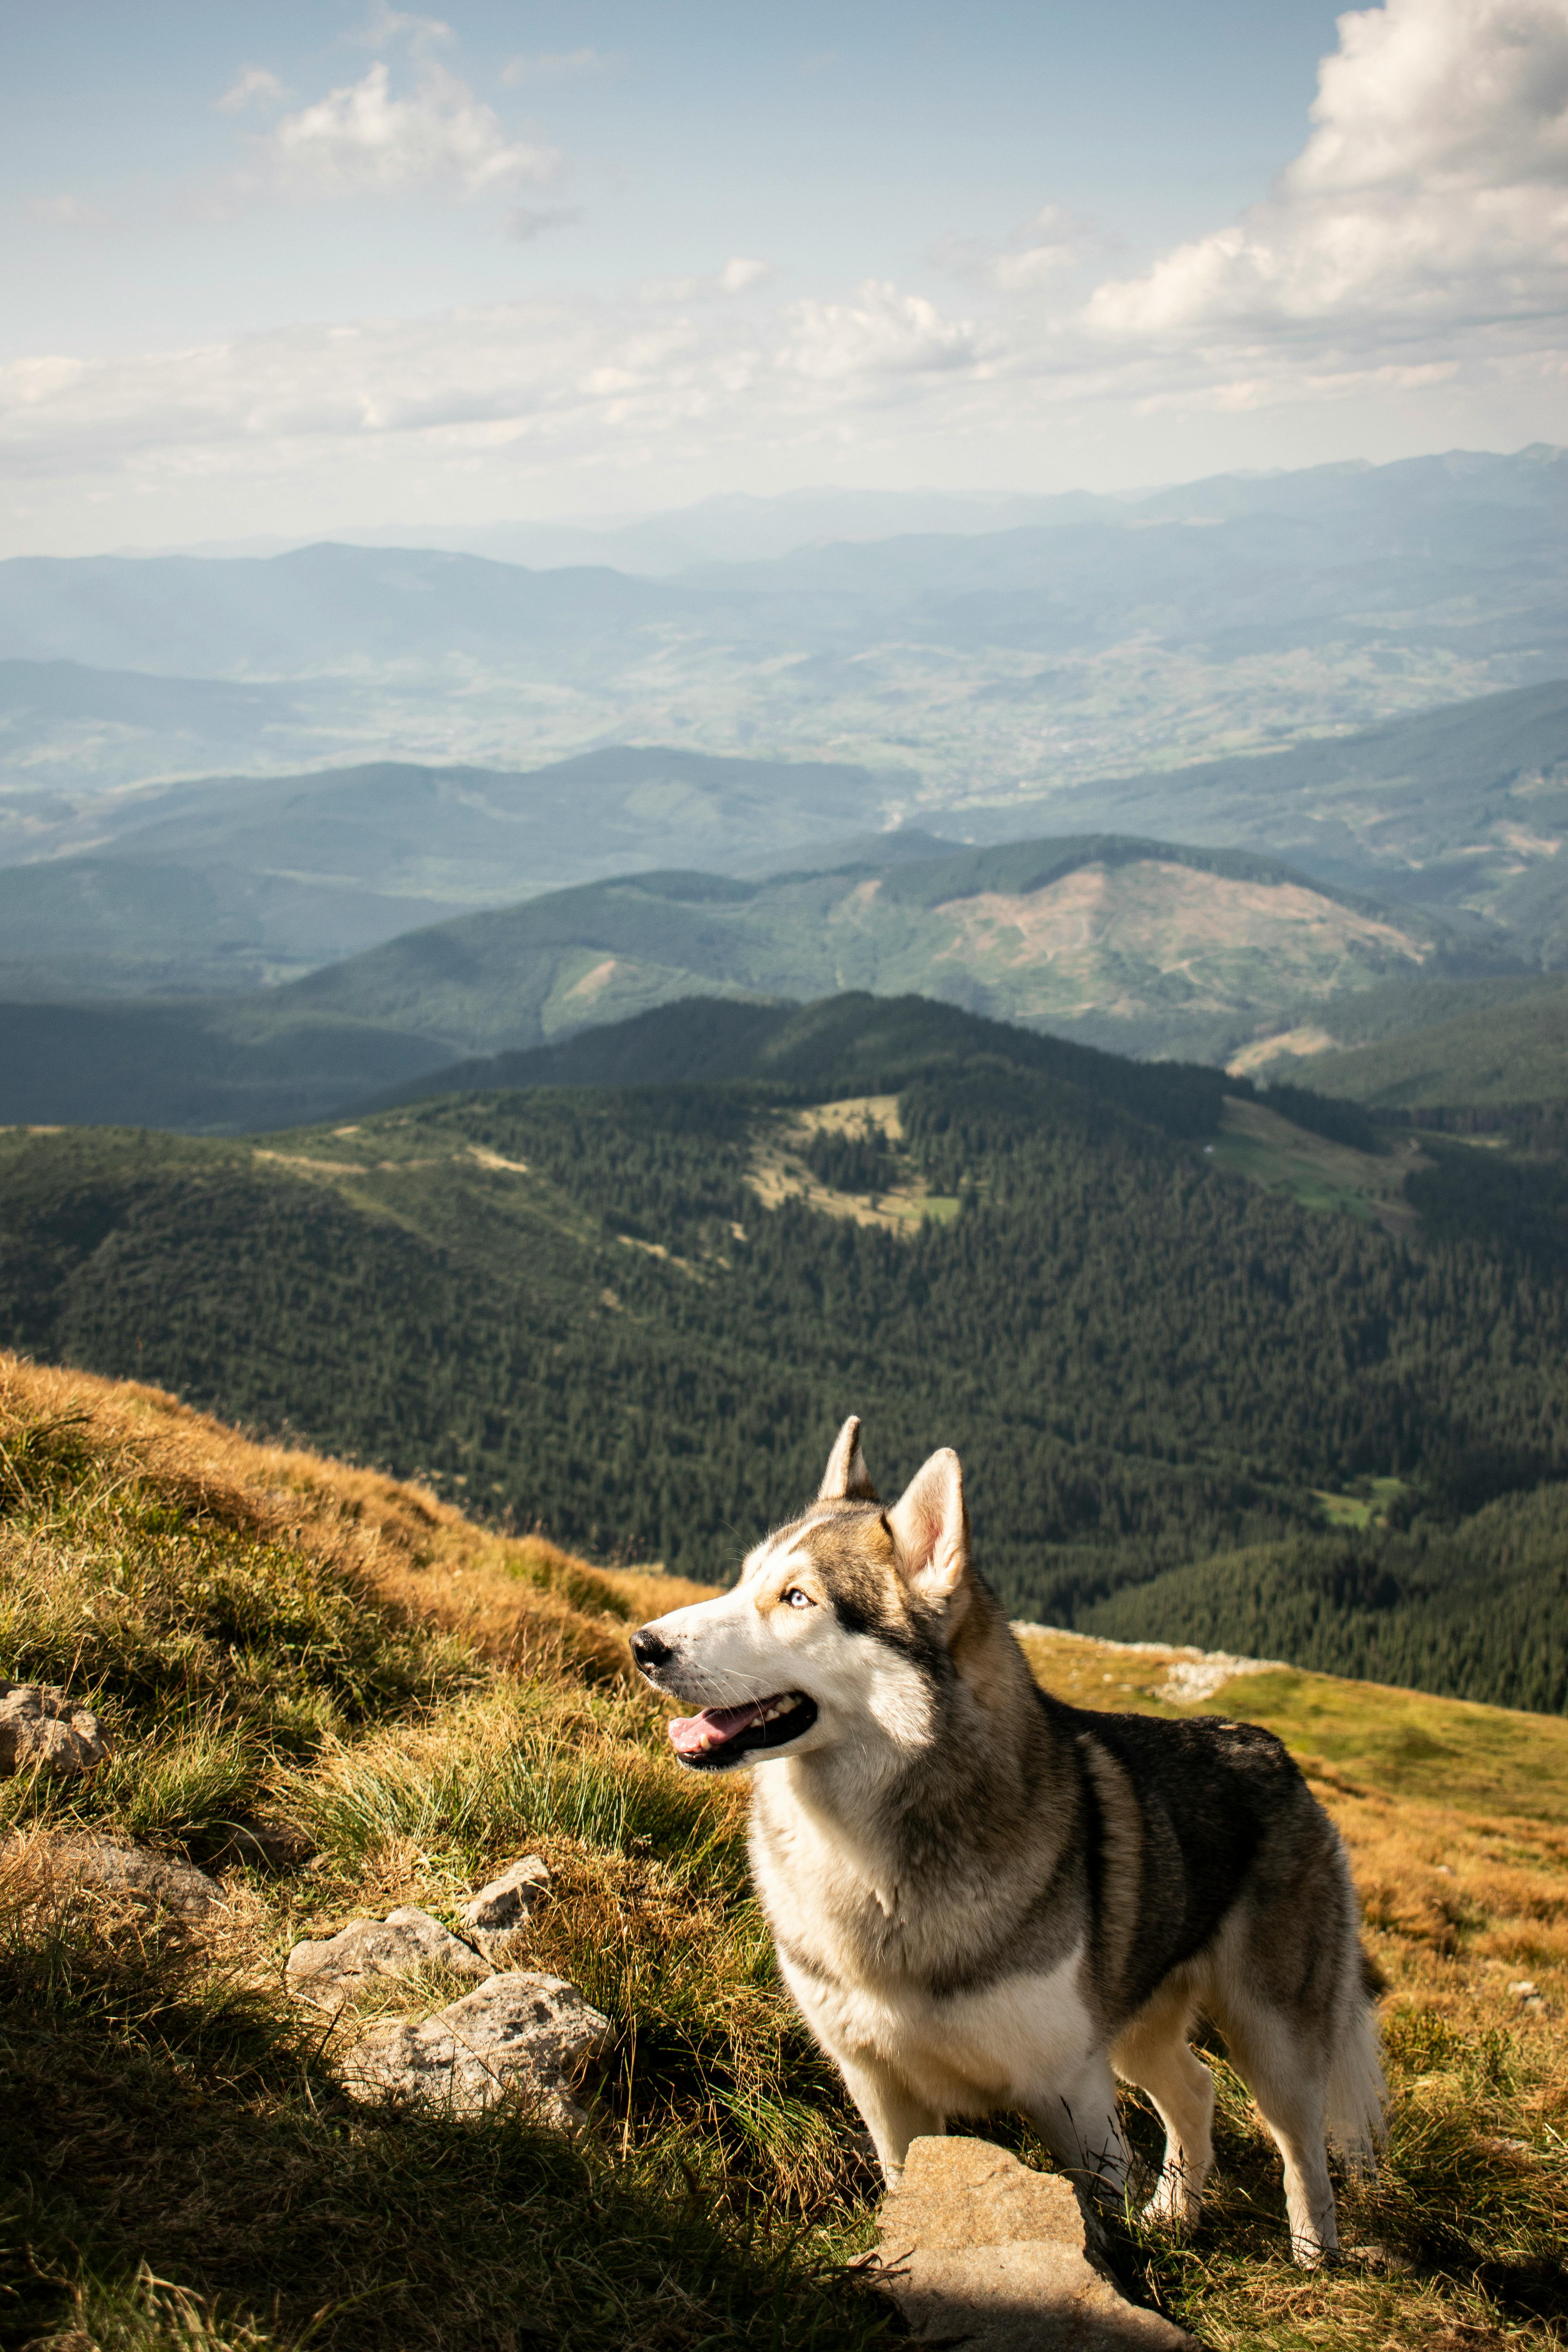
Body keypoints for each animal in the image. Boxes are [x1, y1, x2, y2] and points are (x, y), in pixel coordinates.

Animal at [630, 1411, 1382, 2258]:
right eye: (741, 1580)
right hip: (1136, 2032)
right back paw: (1173, 2217)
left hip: (1271, 2037)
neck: (873, 1865)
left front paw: (1121, 2272)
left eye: (797, 1598)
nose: (644, 1645)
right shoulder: (880, 2086)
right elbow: (905, 2187)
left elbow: (1096, 2217)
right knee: (1195, 2089)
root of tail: (1276, 1751)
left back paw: (1313, 2254)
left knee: (1300, 2147)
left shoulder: (1068, 2093)